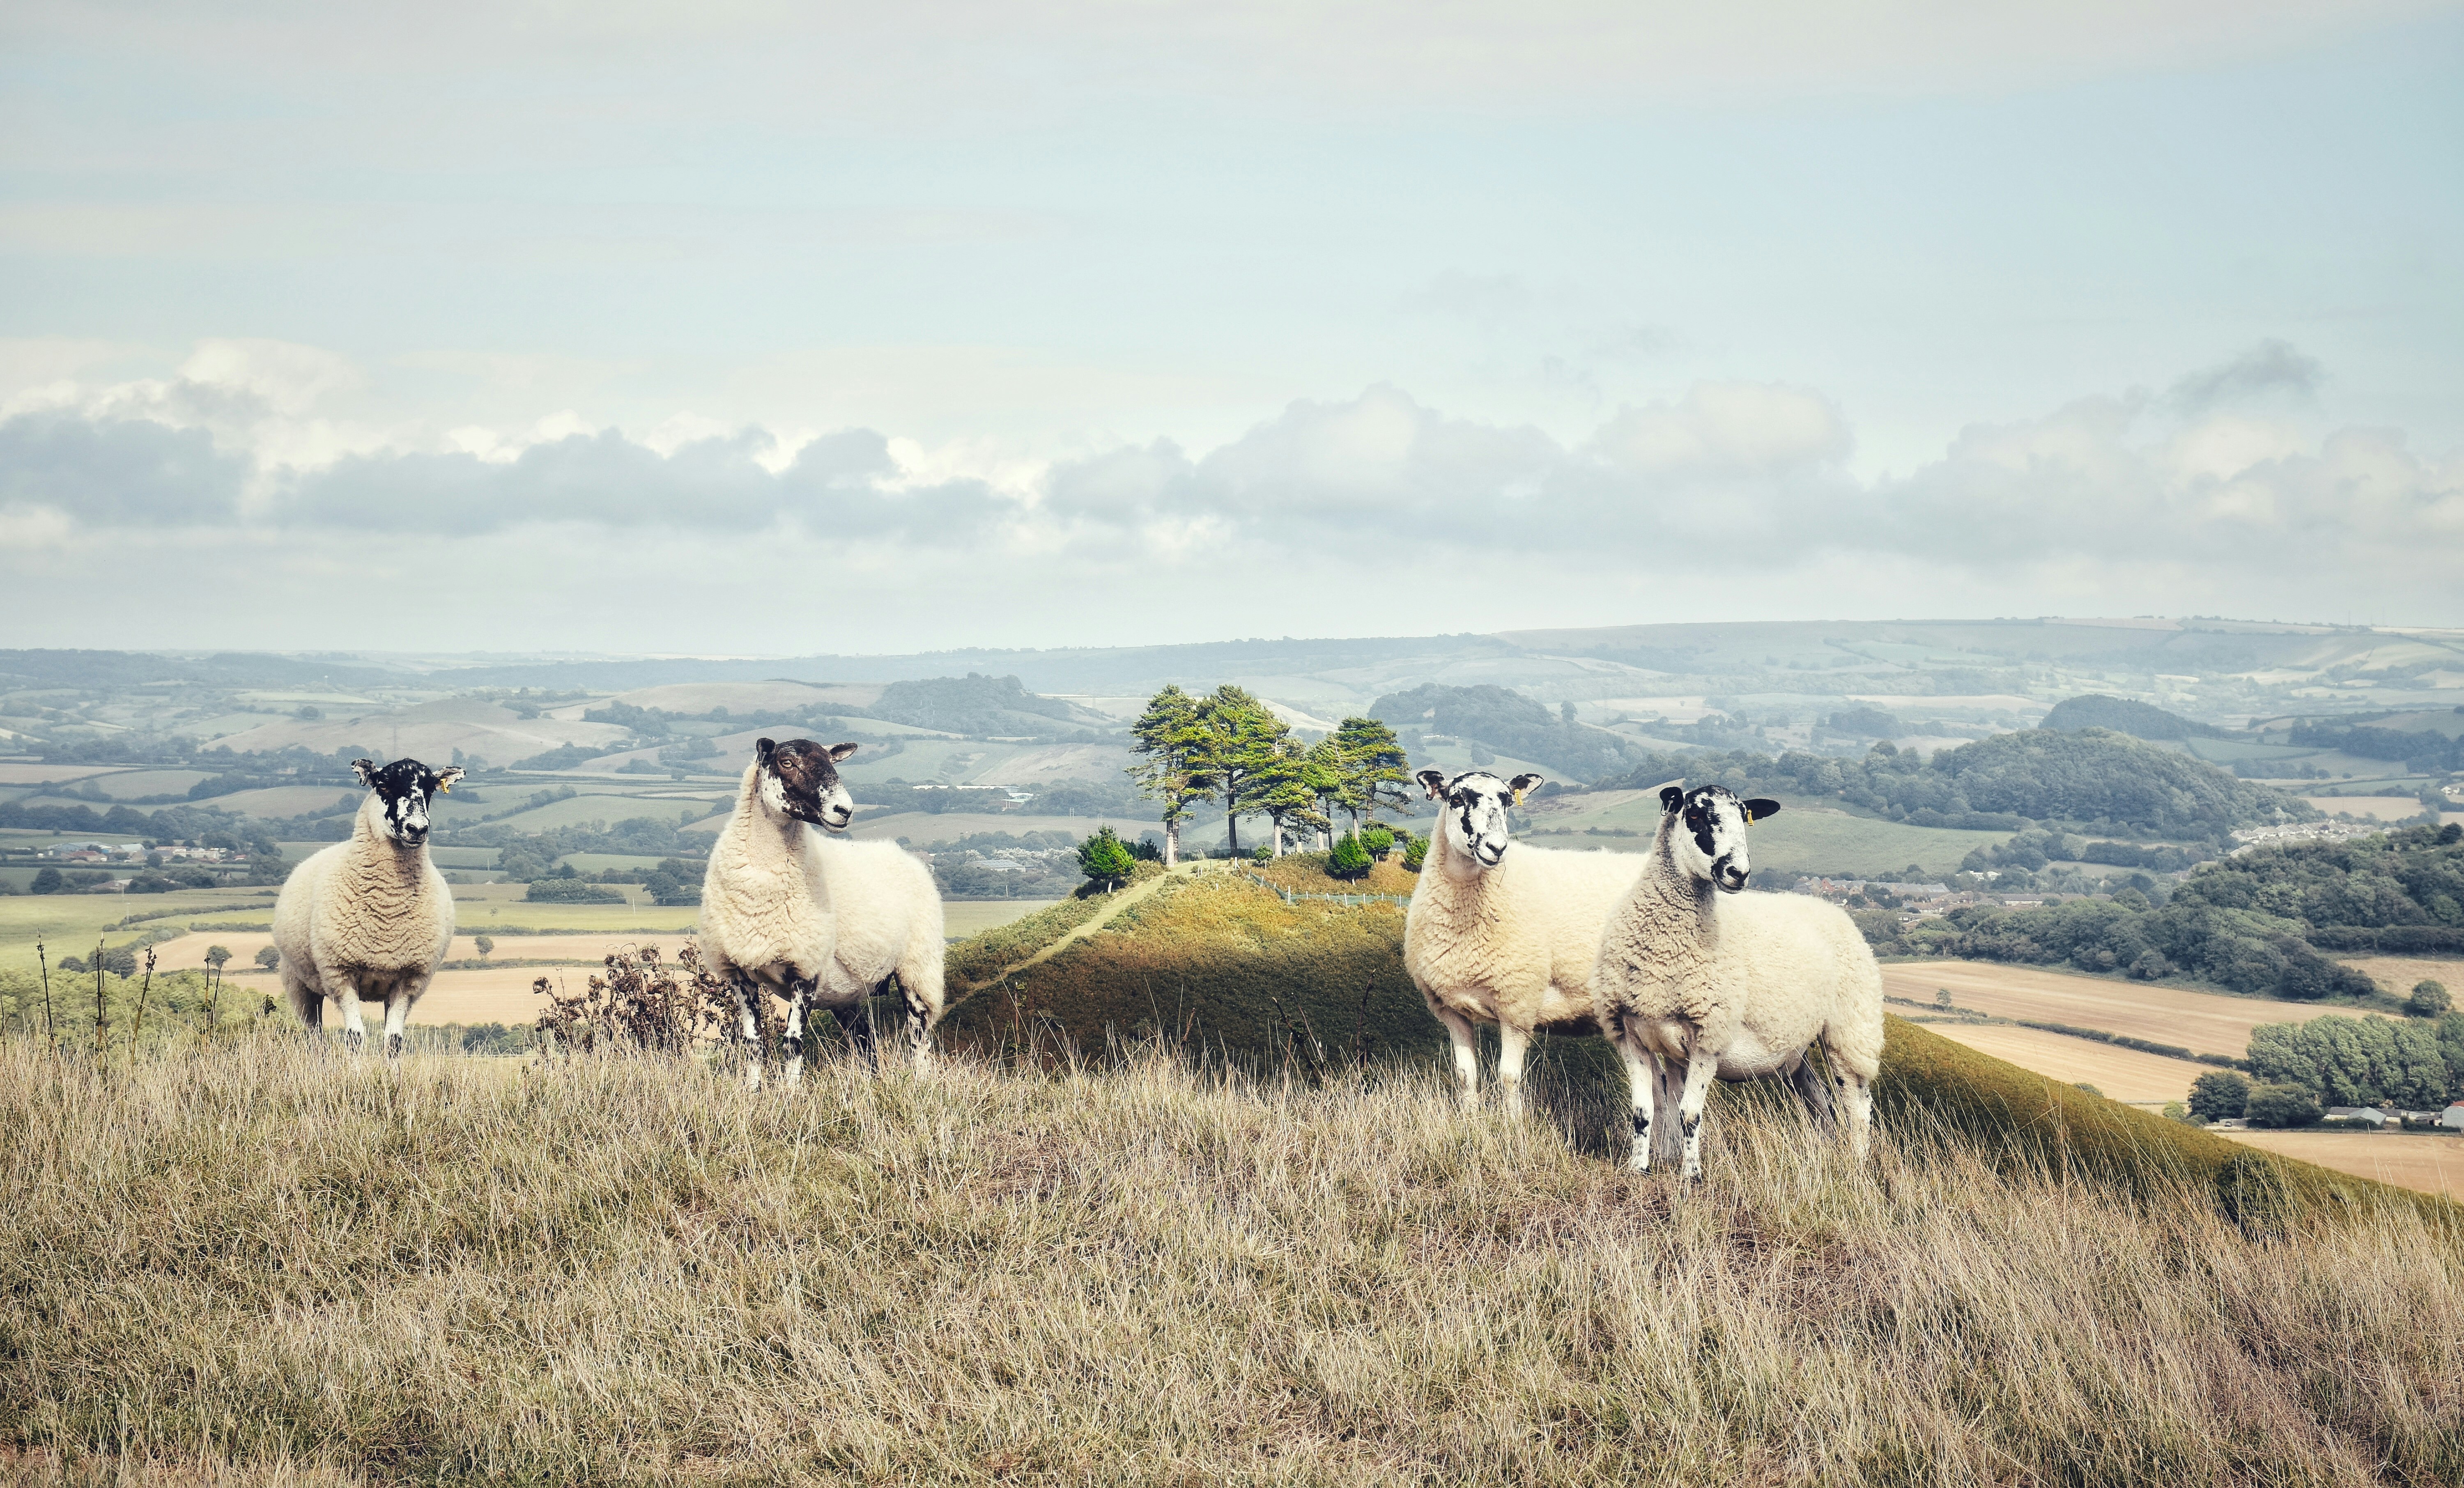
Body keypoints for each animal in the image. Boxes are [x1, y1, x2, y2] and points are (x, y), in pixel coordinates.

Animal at [272, 754, 463, 1059]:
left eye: (431, 789)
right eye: (383, 785)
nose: (417, 829)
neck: (388, 907)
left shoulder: (408, 979)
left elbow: (394, 1041)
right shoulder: (341, 974)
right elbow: (355, 1038)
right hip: (299, 982)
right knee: (314, 1033)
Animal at [695, 734, 857, 1094]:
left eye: (831, 761)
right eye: (787, 762)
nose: (845, 810)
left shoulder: (806, 969)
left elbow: (793, 1041)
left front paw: (791, 1093)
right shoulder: (739, 973)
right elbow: (754, 1040)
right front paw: (753, 1091)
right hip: (848, 992)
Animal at [1587, 783, 1873, 1178]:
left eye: (1744, 818)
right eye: (1694, 814)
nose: (1739, 872)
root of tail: (1832, 910)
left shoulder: (1710, 1035)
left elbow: (1689, 1115)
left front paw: (1691, 1176)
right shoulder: (1631, 1035)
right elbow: (1644, 1112)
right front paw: (1638, 1169)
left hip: (1850, 1029)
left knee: (1857, 1104)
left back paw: (1859, 1166)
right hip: (1797, 1050)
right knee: (1824, 1106)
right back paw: (1830, 1159)